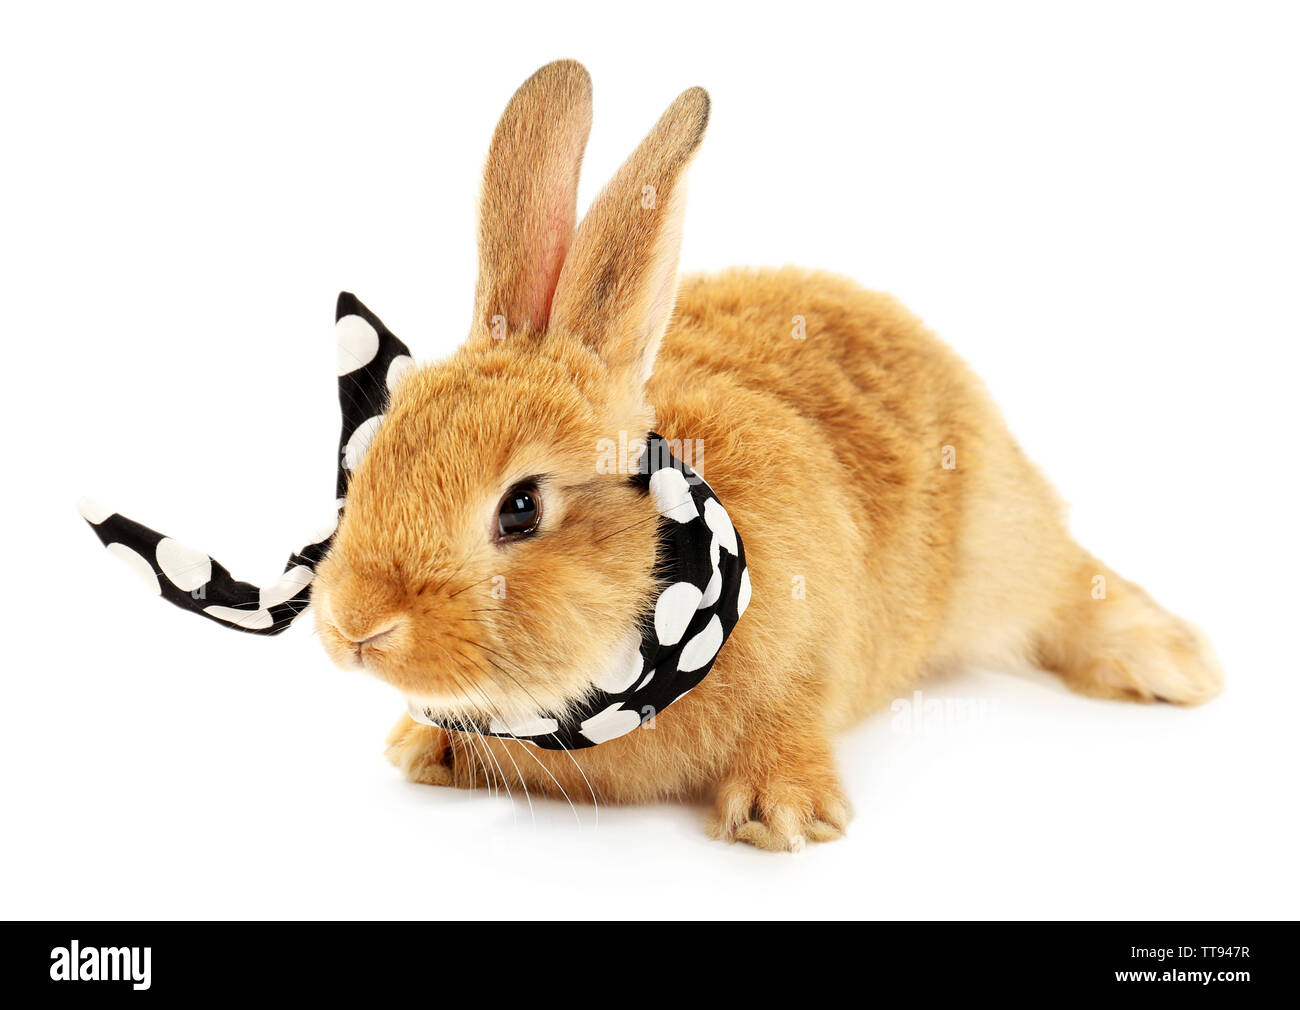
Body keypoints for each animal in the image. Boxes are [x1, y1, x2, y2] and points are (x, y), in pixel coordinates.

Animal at [312, 59, 1223, 851]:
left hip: (999, 551)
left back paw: (1176, 667)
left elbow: (791, 717)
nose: (356, 626)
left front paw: (784, 816)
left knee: (1066, 590)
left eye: (522, 507)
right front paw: (421, 749)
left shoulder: (810, 652)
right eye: (368, 463)